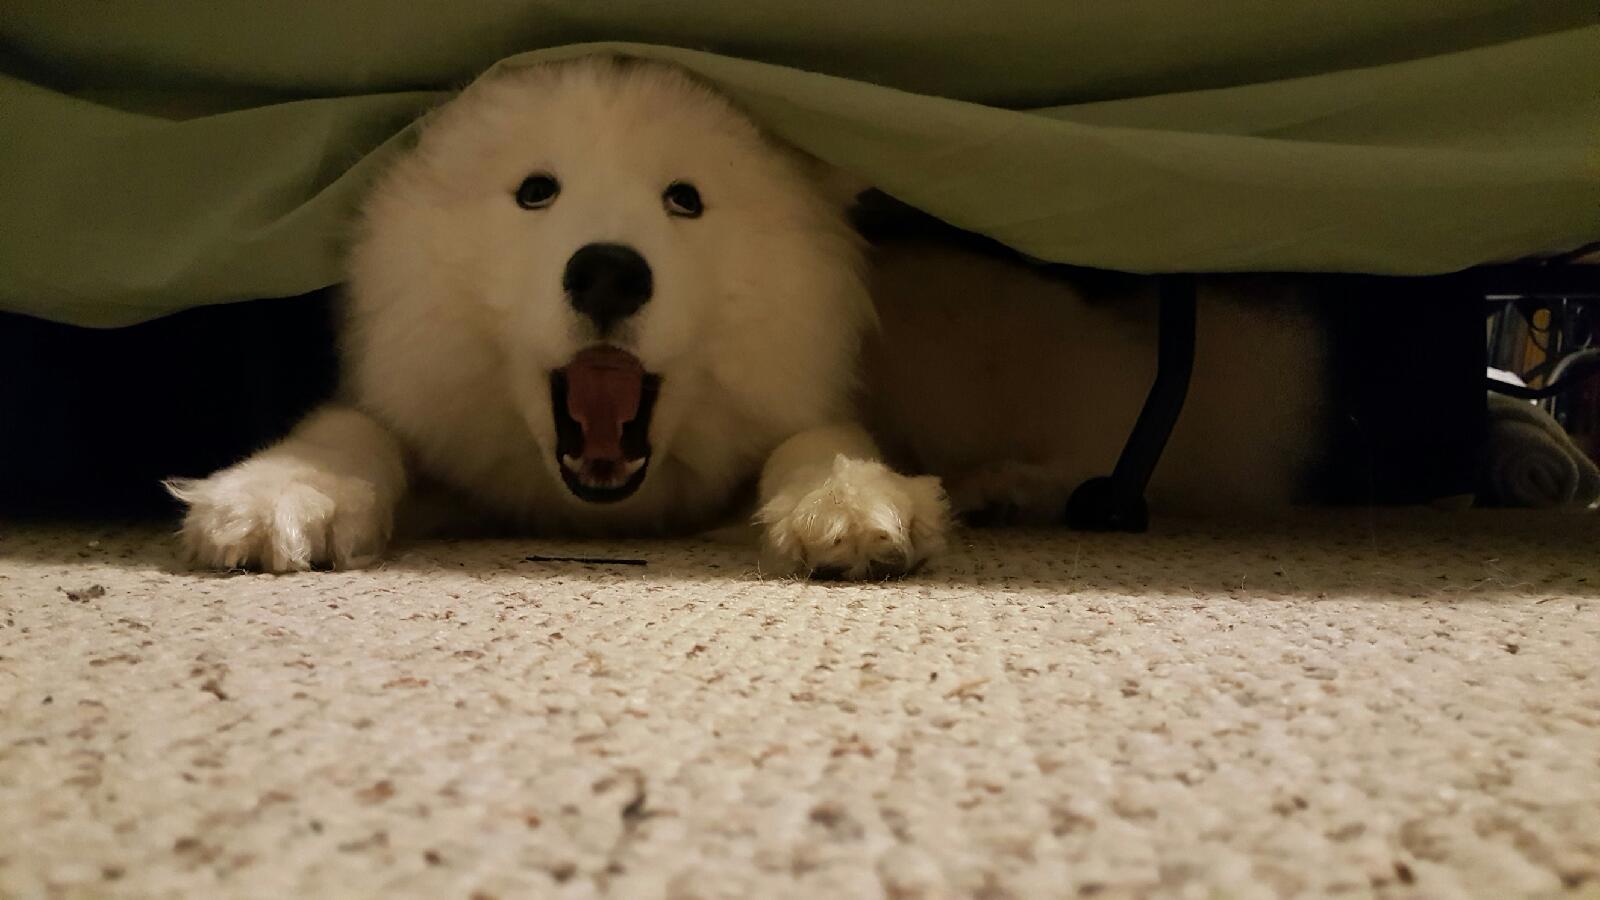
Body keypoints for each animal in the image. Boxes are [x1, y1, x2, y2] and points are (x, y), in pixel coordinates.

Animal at [168, 57, 947, 573]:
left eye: (685, 198)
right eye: (536, 191)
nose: (608, 273)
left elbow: (819, 435)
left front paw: (847, 495)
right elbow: (352, 426)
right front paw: (279, 489)